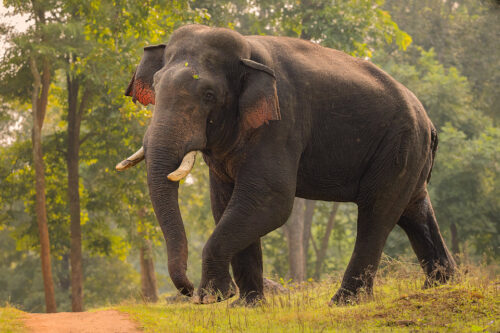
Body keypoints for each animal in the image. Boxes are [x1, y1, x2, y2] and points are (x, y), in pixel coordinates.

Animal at [117, 24, 458, 306]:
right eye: (155, 85)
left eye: (209, 95)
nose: (188, 290)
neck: (248, 51)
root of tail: (430, 124)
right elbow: (225, 201)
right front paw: (246, 305)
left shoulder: (281, 121)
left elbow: (270, 200)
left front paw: (214, 298)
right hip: (410, 151)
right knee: (413, 209)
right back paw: (442, 284)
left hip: (399, 143)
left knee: (377, 212)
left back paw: (343, 302)